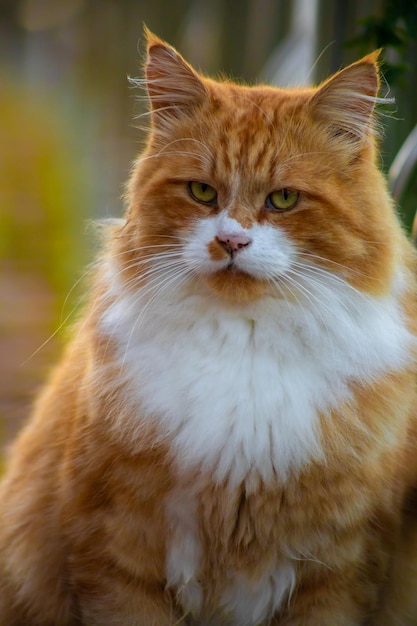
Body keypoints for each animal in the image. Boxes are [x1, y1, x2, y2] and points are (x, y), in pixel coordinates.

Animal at [0, 28, 416, 624]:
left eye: (283, 199)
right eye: (201, 192)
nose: (230, 241)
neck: (245, 346)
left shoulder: (339, 574)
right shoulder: (117, 558)